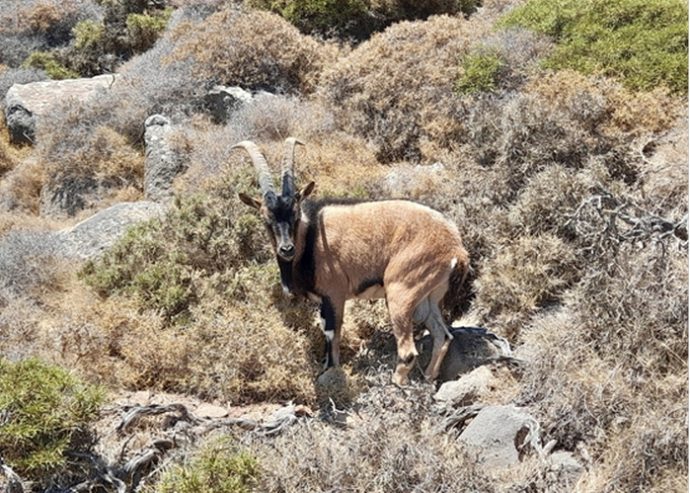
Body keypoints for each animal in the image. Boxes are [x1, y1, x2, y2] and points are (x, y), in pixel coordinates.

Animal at [233, 138, 469, 385]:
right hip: (429, 298)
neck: (311, 236)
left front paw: (331, 372)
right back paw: (429, 380)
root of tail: (455, 247)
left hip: (401, 292)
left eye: (295, 214)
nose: (286, 249)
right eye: (266, 218)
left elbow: (331, 334)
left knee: (408, 352)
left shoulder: (334, 294)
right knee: (443, 336)